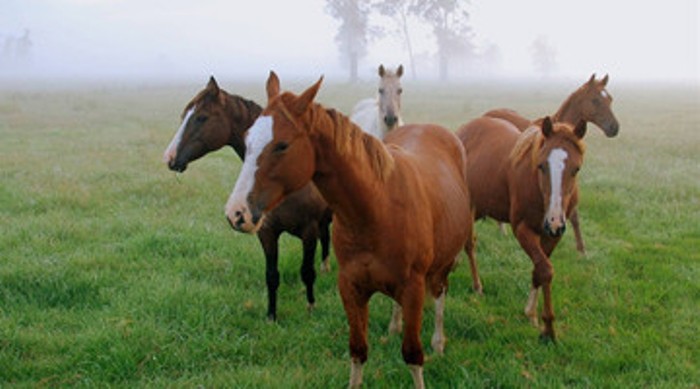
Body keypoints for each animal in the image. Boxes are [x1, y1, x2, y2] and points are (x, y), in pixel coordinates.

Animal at [163, 75, 332, 318]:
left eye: (201, 117)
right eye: (184, 115)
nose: (169, 158)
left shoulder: (308, 231)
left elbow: (307, 272)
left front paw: (310, 307)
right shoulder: (267, 232)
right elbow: (272, 276)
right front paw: (271, 316)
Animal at [227, 72, 474, 384]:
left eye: (282, 145)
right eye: (247, 139)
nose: (236, 213)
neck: (377, 209)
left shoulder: (414, 287)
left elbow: (413, 354)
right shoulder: (350, 287)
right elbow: (358, 351)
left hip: (443, 263)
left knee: (440, 293)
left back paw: (438, 342)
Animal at [456, 115, 588, 340]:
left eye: (576, 168)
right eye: (541, 166)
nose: (554, 221)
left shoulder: (552, 236)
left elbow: (539, 269)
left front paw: (531, 314)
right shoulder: (522, 229)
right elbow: (545, 270)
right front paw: (548, 329)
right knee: (469, 245)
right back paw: (477, 285)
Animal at [484, 73, 616, 255]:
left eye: (609, 99)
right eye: (595, 100)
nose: (614, 128)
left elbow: (573, 215)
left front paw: (581, 250)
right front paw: (581, 250)